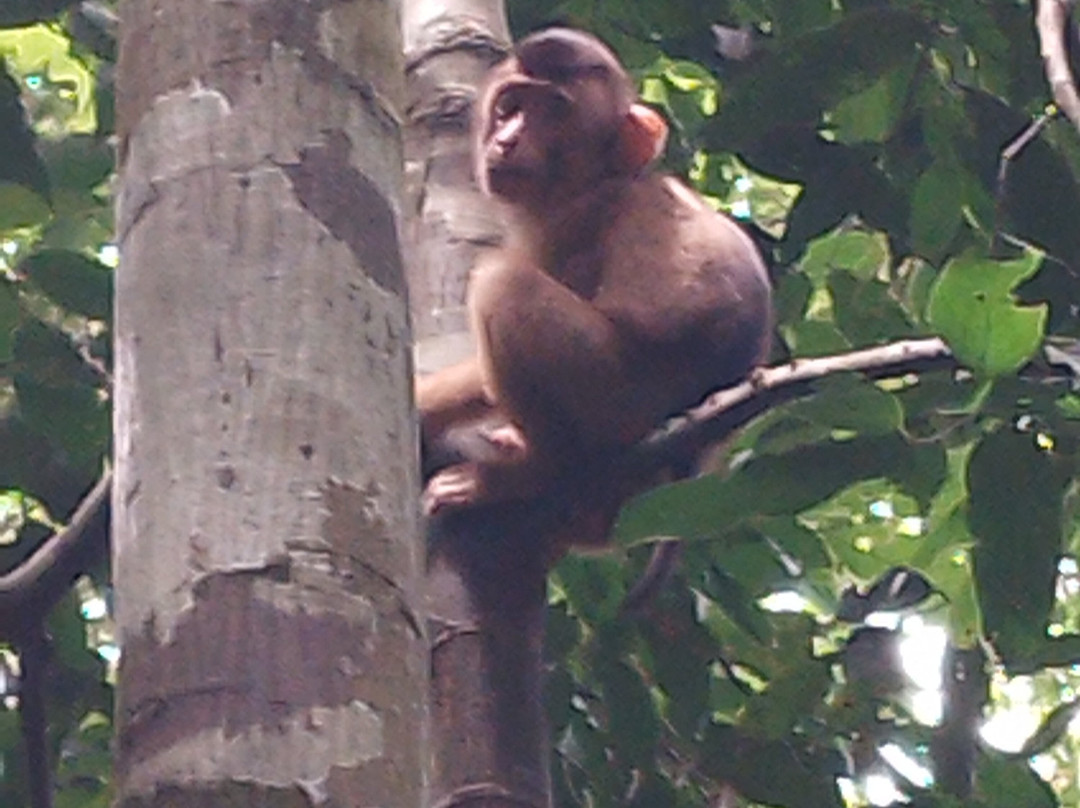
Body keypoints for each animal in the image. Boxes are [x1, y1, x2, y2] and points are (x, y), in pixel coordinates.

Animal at [418, 28, 772, 558]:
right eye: (510, 107)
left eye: (554, 112)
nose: (508, 139)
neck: (607, 177)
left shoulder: (572, 223)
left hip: (622, 404)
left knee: (503, 284)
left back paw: (533, 473)